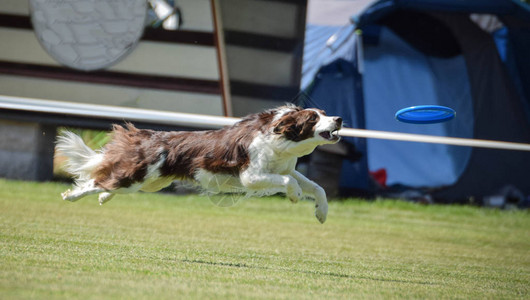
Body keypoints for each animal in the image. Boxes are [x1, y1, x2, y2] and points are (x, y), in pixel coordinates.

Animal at [54, 105, 342, 223]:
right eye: (313, 118)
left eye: (325, 113)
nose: (339, 119)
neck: (280, 140)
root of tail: (146, 137)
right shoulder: (251, 176)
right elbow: (289, 182)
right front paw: (294, 196)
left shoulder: (284, 168)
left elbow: (317, 187)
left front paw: (321, 213)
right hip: (141, 176)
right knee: (98, 180)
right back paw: (70, 196)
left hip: (153, 182)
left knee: (108, 182)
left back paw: (104, 198)